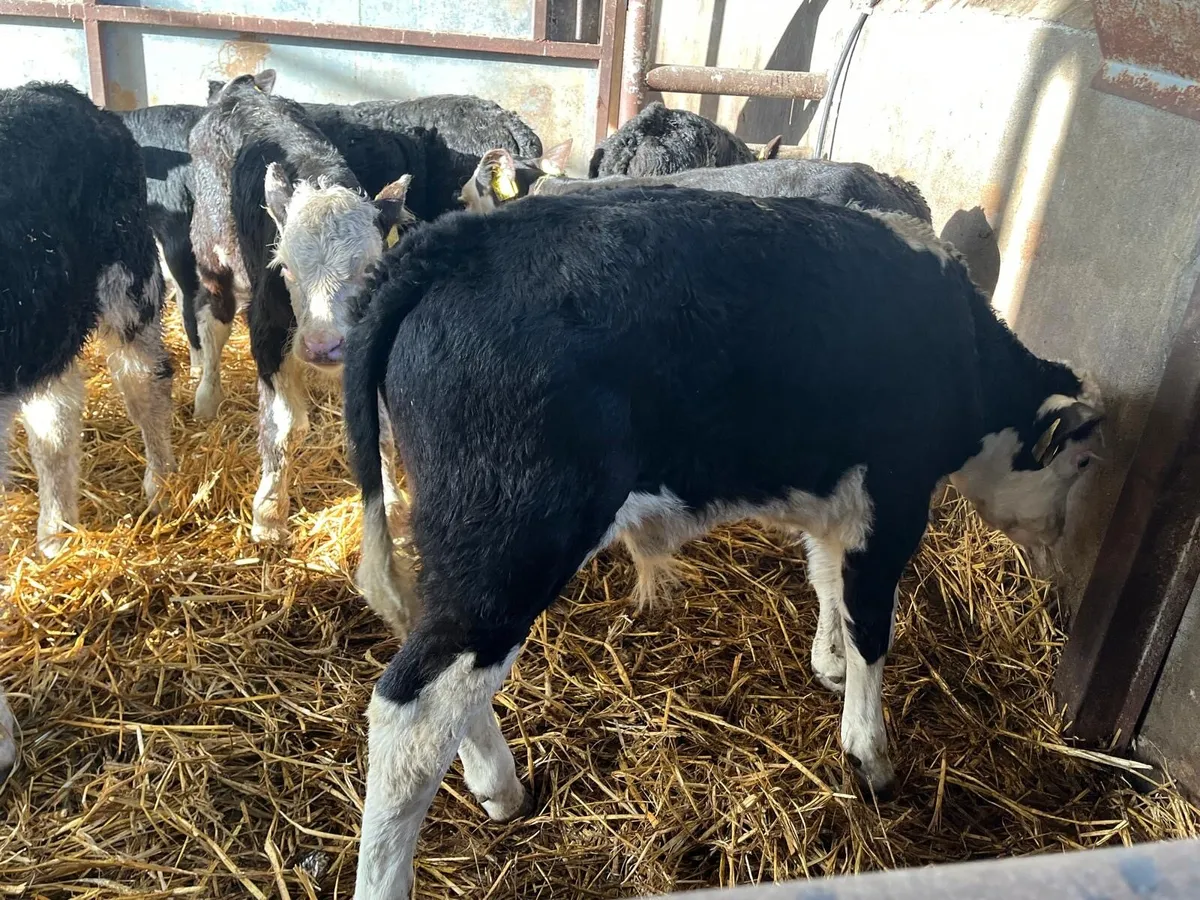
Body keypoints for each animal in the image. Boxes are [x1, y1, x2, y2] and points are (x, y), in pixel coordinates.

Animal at [187, 70, 414, 549]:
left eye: (370, 268)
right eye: (285, 267)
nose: (322, 347)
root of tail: (238, 90)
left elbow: (380, 431)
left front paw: (394, 512)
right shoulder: (267, 331)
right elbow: (281, 424)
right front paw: (270, 512)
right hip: (212, 251)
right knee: (213, 318)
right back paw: (207, 396)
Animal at [340, 189, 1102, 897]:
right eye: (1083, 463)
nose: (1058, 556)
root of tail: (449, 243)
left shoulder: (836, 493)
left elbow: (827, 579)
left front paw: (827, 663)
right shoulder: (894, 498)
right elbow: (870, 622)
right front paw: (869, 750)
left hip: (458, 546)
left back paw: (499, 784)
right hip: (512, 543)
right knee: (412, 712)